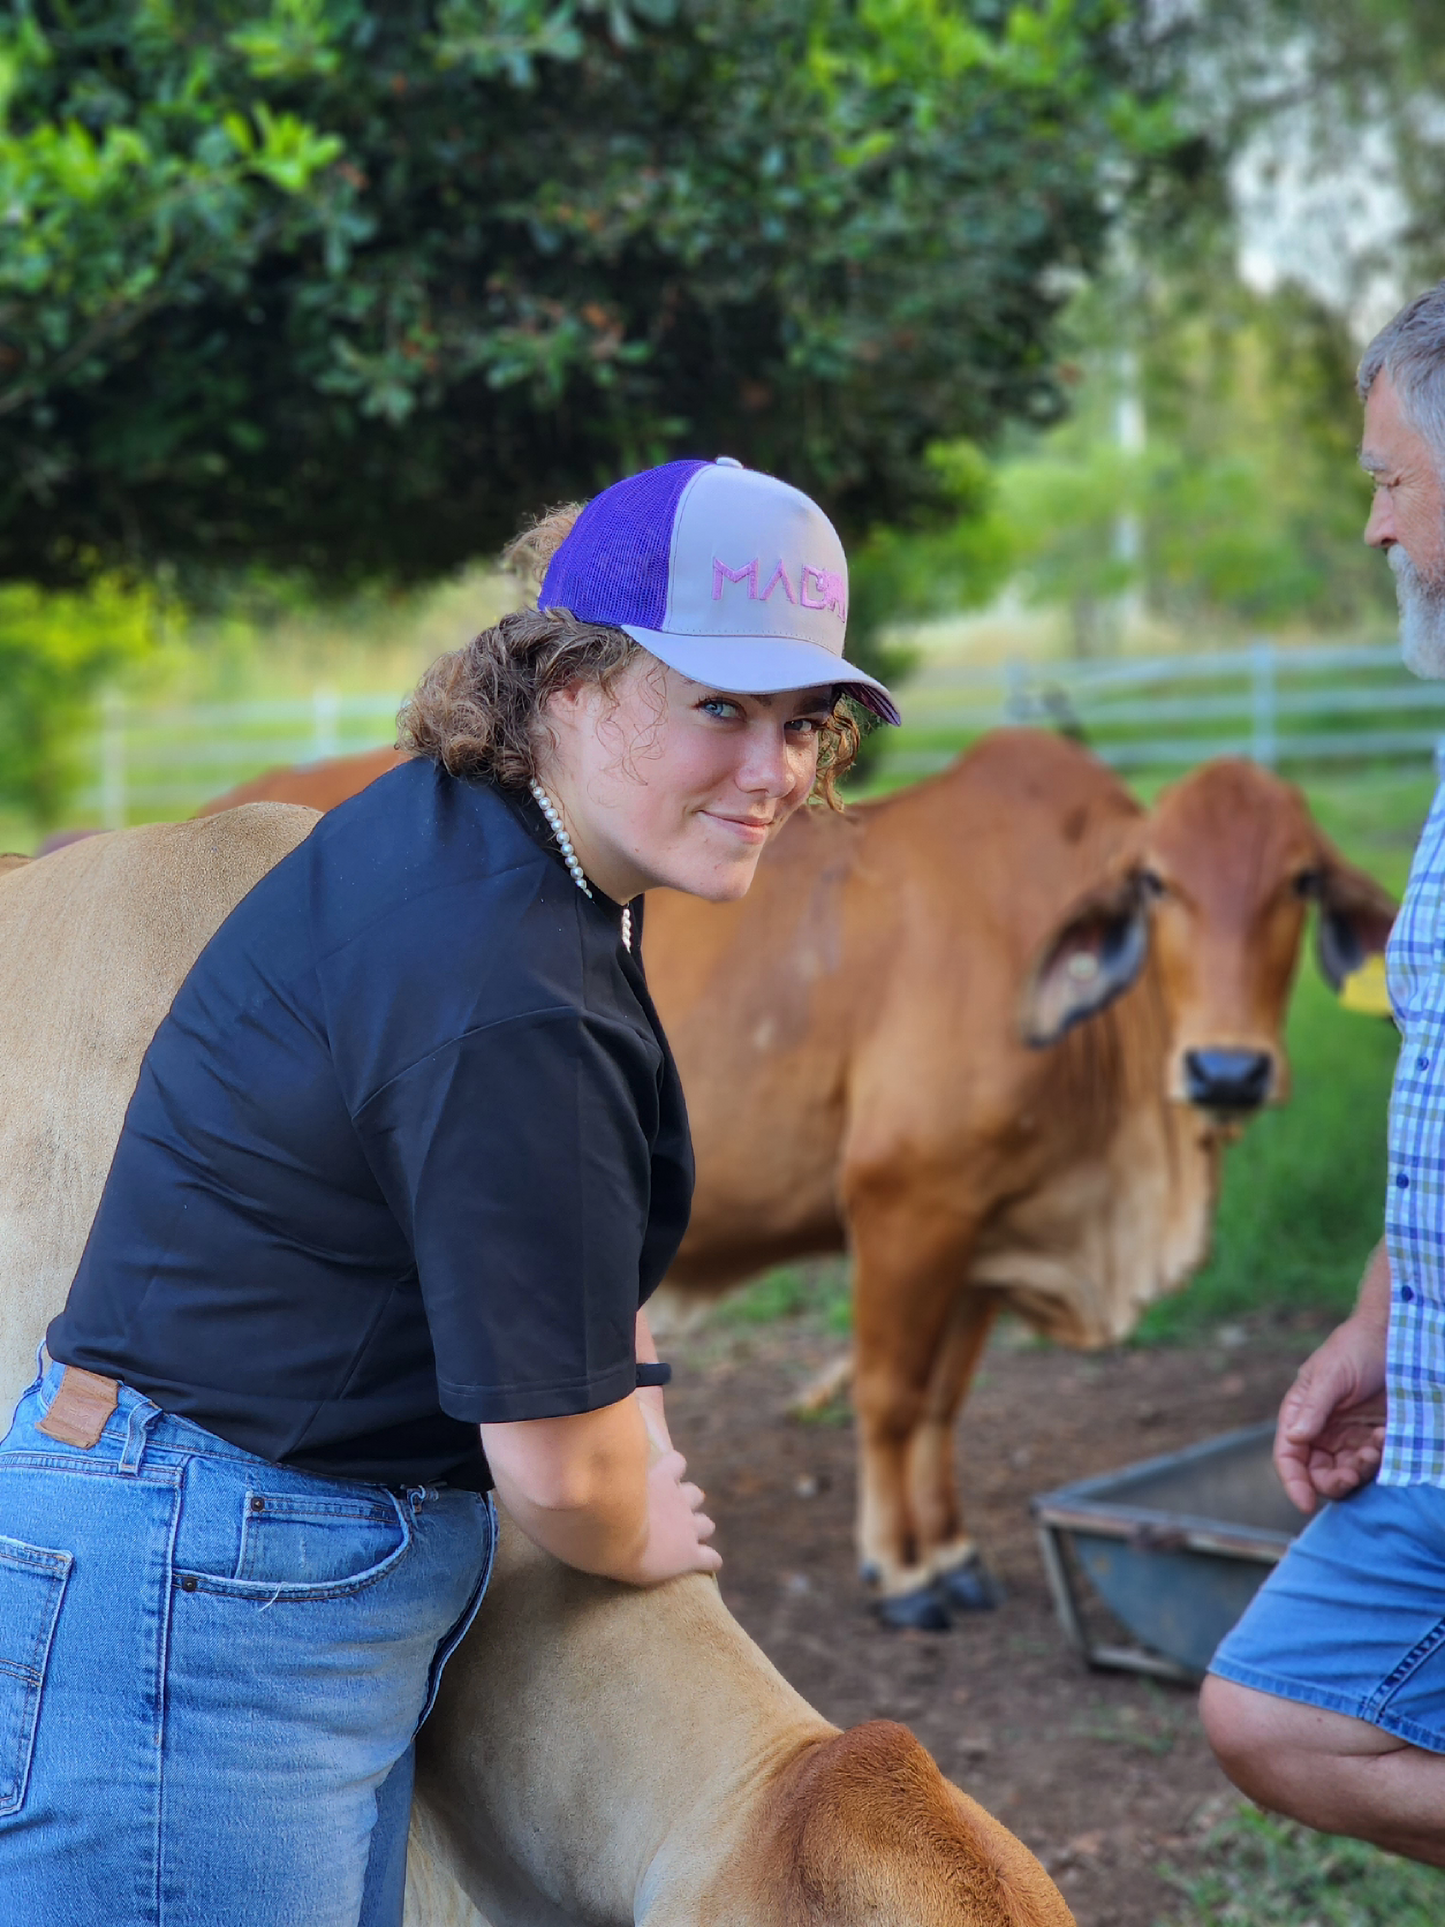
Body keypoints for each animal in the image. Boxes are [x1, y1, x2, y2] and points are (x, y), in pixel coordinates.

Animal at [186, 728, 1394, 1618]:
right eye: (1154, 884)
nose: (1228, 1069)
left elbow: (944, 1402)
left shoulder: (982, 1232)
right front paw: (902, 1572)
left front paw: (951, 1551)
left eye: (1297, 881)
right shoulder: (903, 1205)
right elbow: (889, 1393)